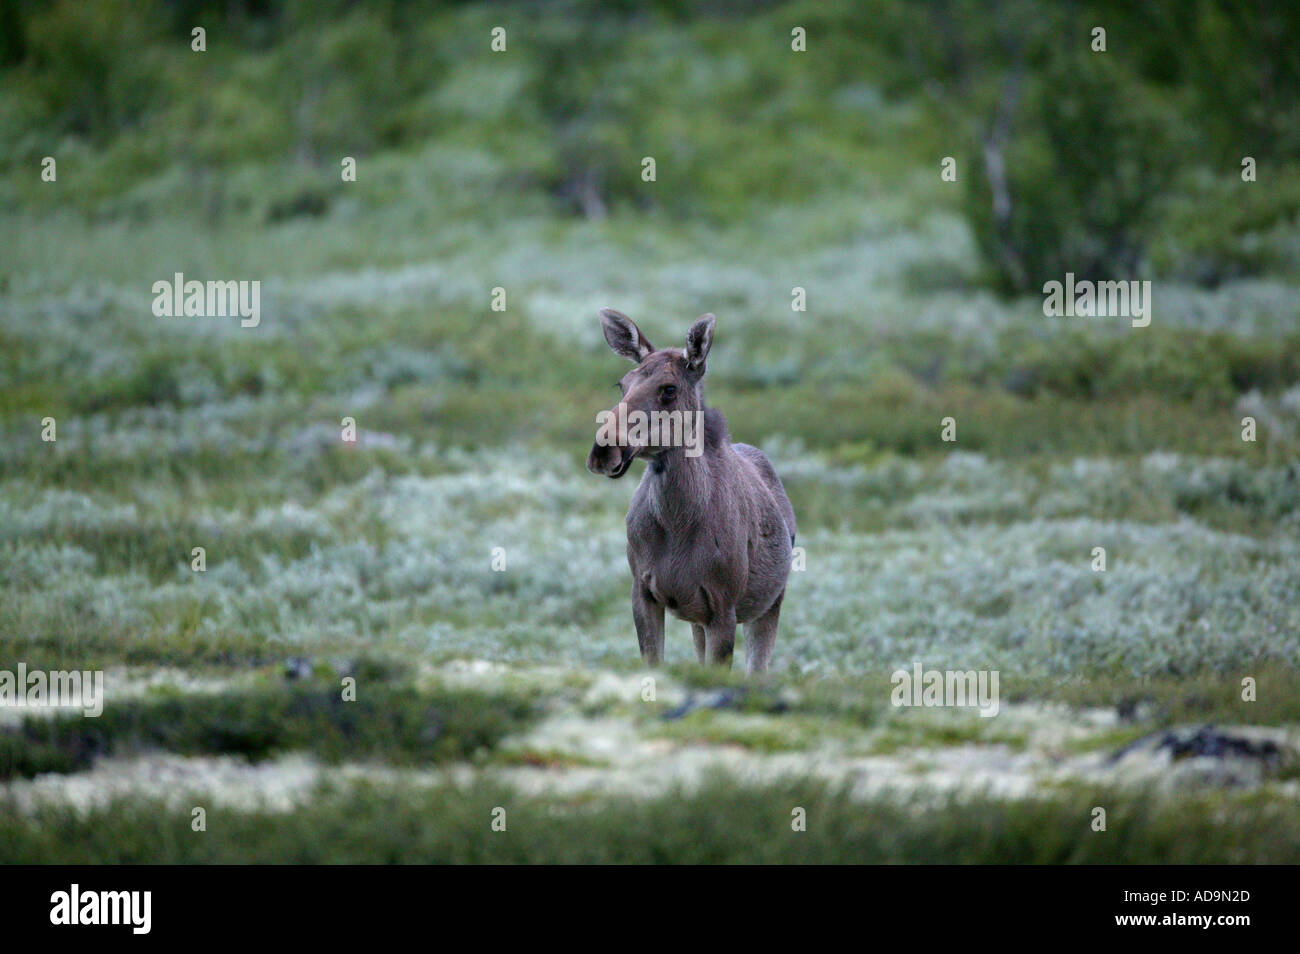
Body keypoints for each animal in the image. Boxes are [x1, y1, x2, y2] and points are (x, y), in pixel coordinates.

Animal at [587, 308, 790, 670]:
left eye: (669, 389)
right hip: (697, 620)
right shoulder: (643, 591)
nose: (603, 451)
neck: (678, 522)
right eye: (622, 384)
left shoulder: (723, 605)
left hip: (770, 602)